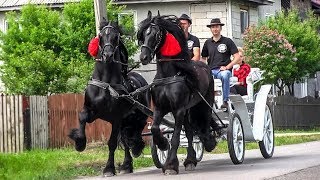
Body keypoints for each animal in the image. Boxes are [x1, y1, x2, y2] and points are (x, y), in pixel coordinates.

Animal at [69, 19, 150, 176]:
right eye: (100, 36)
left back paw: (135, 150)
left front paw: (108, 168)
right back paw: (126, 165)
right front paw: (80, 142)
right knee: (125, 138)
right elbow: (82, 118)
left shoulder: (116, 117)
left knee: (135, 131)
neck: (106, 84)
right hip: (125, 120)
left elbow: (112, 143)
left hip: (138, 115)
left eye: (116, 37)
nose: (107, 55)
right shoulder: (91, 110)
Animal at [137, 11, 218, 174]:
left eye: (156, 34)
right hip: (188, 110)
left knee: (204, 123)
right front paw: (162, 144)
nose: (144, 57)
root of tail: (205, 66)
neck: (168, 76)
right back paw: (190, 160)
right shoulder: (160, 108)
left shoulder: (179, 109)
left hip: (204, 103)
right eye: (143, 34)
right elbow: (155, 128)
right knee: (190, 131)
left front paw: (170, 165)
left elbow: (175, 138)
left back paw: (208, 142)